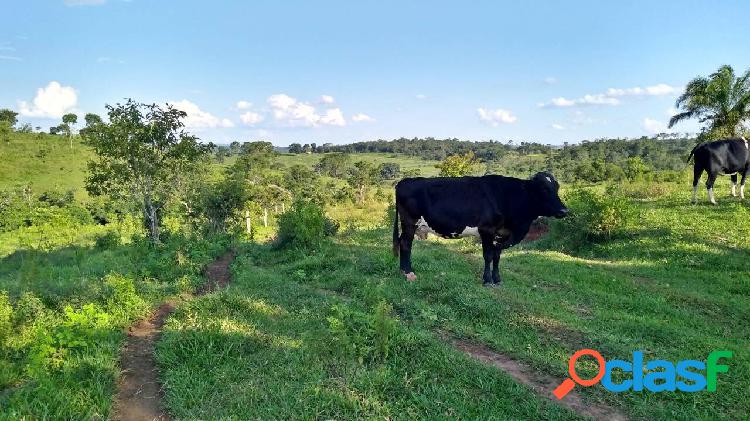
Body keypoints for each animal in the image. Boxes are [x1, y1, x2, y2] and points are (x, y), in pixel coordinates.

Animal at [394, 171, 568, 286]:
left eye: (557, 187)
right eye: (543, 189)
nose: (564, 211)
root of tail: (403, 182)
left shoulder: (500, 234)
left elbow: (497, 256)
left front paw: (497, 279)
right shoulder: (487, 230)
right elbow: (488, 256)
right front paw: (487, 280)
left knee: (402, 243)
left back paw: (404, 270)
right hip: (410, 222)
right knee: (405, 244)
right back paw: (408, 273)